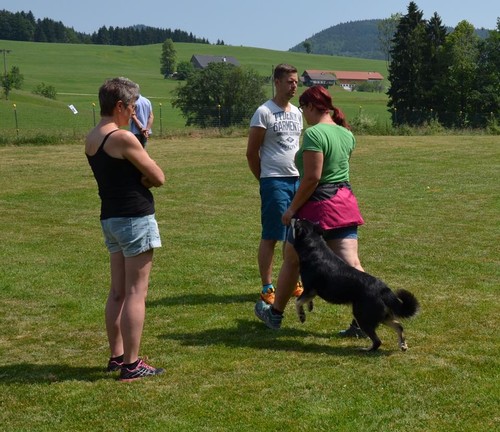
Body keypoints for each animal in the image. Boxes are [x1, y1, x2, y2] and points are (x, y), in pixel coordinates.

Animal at [292, 219, 420, 351]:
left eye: (298, 221)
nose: (294, 218)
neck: (314, 248)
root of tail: (383, 290)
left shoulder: (310, 289)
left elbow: (297, 301)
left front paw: (302, 316)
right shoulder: (310, 291)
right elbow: (305, 301)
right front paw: (309, 307)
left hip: (363, 316)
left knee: (378, 341)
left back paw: (366, 350)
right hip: (382, 316)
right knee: (399, 326)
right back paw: (403, 345)